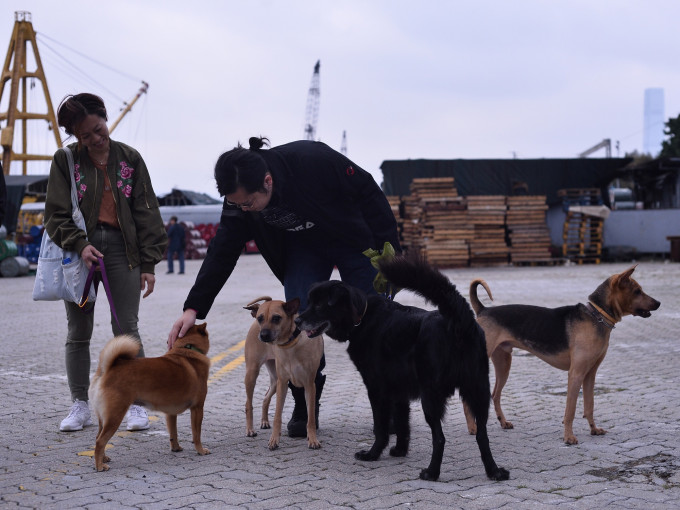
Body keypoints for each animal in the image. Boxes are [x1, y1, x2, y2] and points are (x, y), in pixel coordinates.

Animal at [89, 322, 210, 470]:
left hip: (104, 418)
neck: (187, 349)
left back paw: (104, 458)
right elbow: (196, 434)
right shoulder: (197, 408)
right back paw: (100, 466)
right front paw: (200, 450)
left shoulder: (171, 413)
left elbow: (173, 433)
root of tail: (106, 370)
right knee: (100, 441)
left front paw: (176, 448)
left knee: (97, 438)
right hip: (114, 416)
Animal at [294, 256, 508, 480]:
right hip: (478, 391)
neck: (363, 317)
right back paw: (495, 471)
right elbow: (402, 423)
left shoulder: (377, 390)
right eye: (309, 302)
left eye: (319, 305)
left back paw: (431, 472)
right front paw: (400, 450)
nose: (297, 321)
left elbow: (381, 427)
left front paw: (372, 454)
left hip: (431, 396)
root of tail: (458, 322)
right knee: (482, 436)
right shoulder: (398, 391)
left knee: (440, 438)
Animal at [468, 264, 660, 444]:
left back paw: (502, 422)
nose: (658, 303)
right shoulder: (575, 374)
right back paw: (473, 428)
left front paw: (594, 429)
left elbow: (589, 405)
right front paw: (569, 437)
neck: (597, 316)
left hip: (504, 364)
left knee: (495, 395)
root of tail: (483, 310)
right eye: (637, 291)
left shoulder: (590, 374)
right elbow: (571, 411)